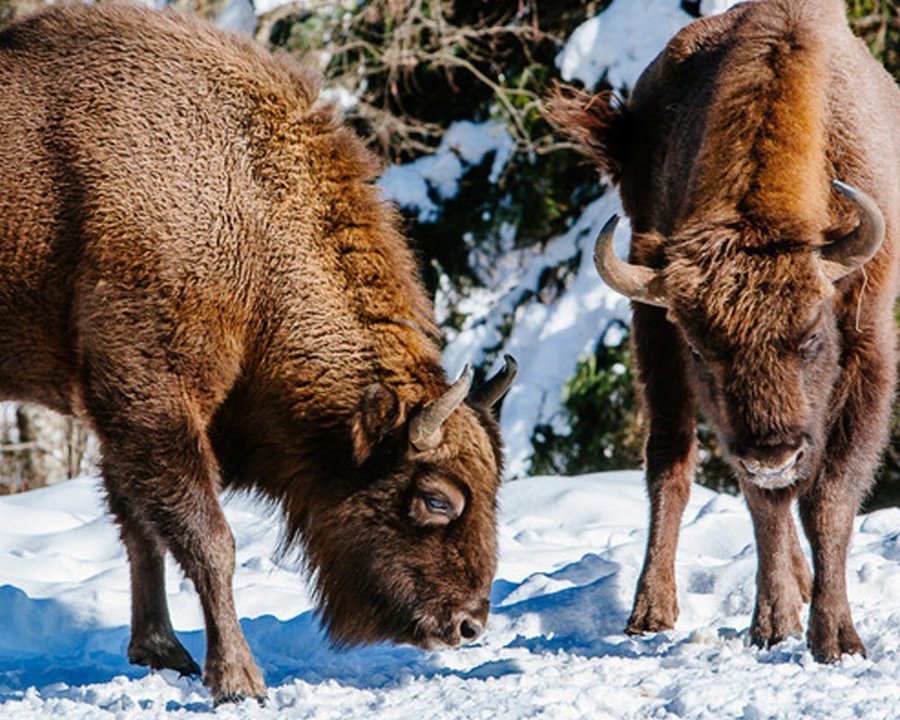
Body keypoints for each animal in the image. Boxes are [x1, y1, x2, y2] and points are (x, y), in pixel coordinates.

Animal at [0, 4, 516, 704]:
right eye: (437, 499)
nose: (468, 625)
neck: (248, 206)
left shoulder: (120, 416)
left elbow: (141, 531)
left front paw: (163, 654)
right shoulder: (152, 397)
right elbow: (206, 538)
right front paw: (238, 680)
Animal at [552, 0, 900, 660]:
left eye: (810, 338)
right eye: (701, 347)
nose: (771, 451)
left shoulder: (867, 347)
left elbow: (828, 497)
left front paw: (836, 638)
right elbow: (765, 500)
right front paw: (774, 624)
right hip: (649, 317)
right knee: (672, 462)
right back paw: (652, 610)